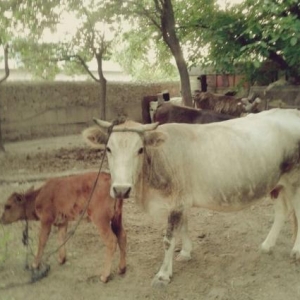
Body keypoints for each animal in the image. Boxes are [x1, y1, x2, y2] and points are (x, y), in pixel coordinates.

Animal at [83, 109, 300, 288]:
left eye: (140, 149)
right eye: (108, 149)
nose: (121, 190)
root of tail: (292, 112)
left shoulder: (176, 203)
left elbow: (169, 239)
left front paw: (163, 275)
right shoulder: (181, 200)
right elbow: (183, 227)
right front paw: (186, 252)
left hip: (295, 181)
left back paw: (296, 250)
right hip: (277, 184)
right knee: (282, 212)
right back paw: (267, 245)